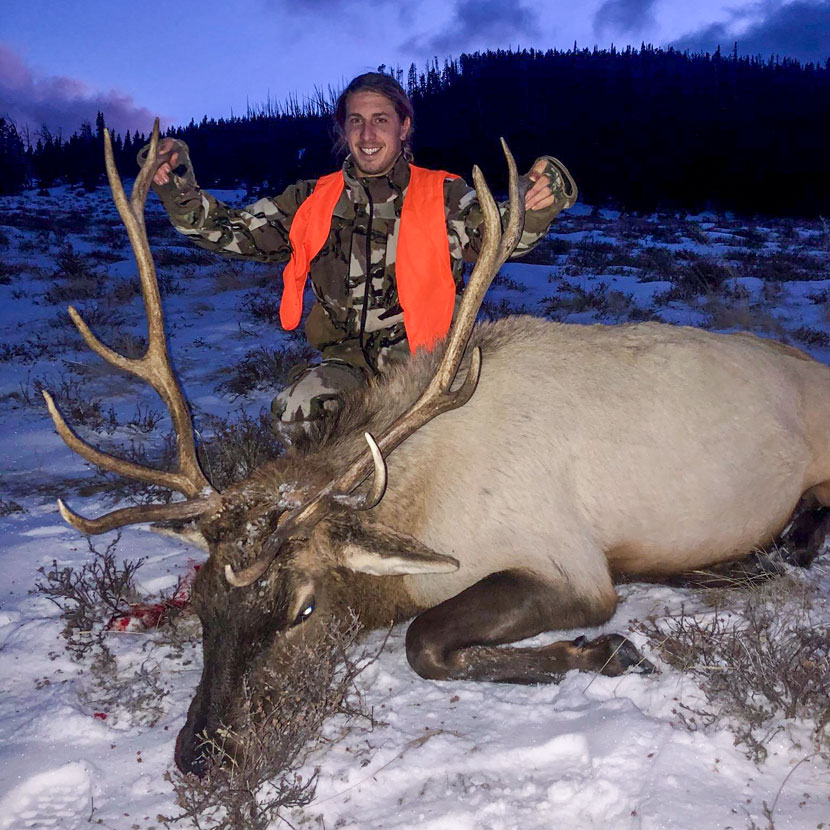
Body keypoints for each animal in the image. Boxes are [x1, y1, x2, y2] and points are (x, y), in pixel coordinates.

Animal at [44, 123, 830, 776]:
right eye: (203, 599)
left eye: (303, 608)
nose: (201, 756)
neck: (422, 504)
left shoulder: (570, 564)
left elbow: (425, 640)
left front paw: (608, 650)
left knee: (807, 530)